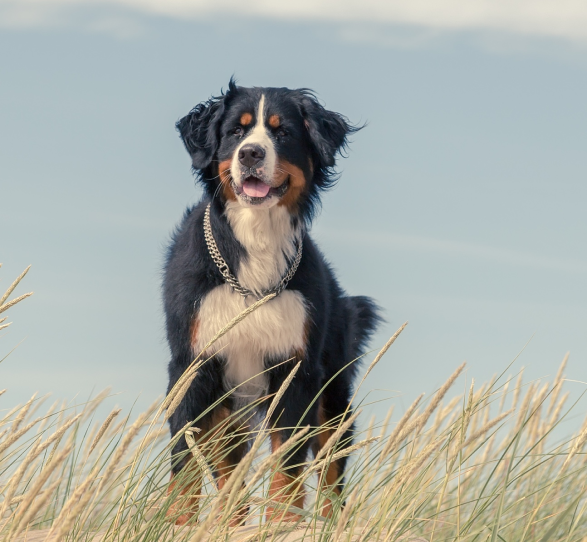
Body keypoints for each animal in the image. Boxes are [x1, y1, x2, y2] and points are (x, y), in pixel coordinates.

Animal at [162, 81, 382, 528]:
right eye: (235, 131)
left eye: (282, 133)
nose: (251, 153)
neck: (257, 239)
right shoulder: (193, 363)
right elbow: (186, 457)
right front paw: (178, 523)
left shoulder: (295, 367)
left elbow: (288, 463)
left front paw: (283, 524)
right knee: (228, 471)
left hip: (332, 397)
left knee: (331, 472)